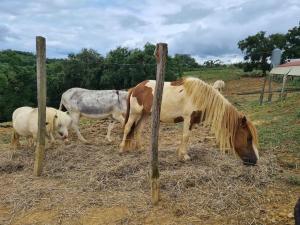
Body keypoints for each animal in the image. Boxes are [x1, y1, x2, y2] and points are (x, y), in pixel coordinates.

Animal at [119, 77, 258, 165]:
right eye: (249, 138)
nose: (254, 161)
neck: (201, 97)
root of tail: (136, 87)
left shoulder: (192, 122)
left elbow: (186, 137)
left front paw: (181, 154)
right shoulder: (188, 118)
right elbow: (185, 136)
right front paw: (184, 156)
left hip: (145, 115)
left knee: (138, 130)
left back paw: (141, 148)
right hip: (134, 114)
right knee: (127, 128)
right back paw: (122, 149)